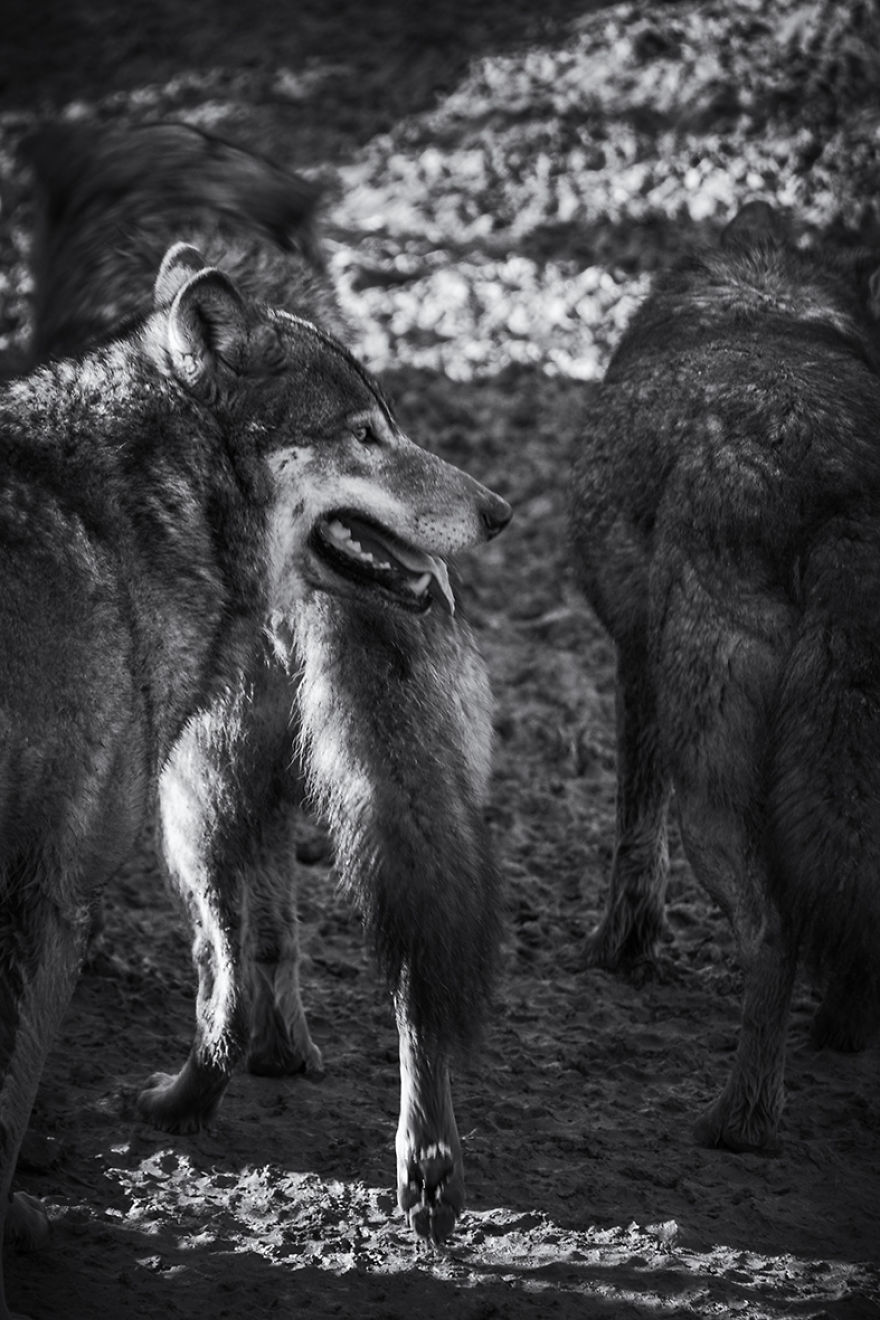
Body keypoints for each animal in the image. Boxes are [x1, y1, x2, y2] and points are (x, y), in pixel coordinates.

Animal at [19, 121, 510, 1244]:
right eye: (367, 433)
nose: (499, 513)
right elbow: (289, 926)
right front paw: (298, 1049)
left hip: (185, 805)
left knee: (222, 989)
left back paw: (176, 1106)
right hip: (418, 795)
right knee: (415, 984)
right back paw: (427, 1172)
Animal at [570, 200, 880, 1153]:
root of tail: (836, 478)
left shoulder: (634, 669)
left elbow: (635, 837)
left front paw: (620, 950)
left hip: (712, 788)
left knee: (776, 933)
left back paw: (739, 1120)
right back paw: (840, 1034)